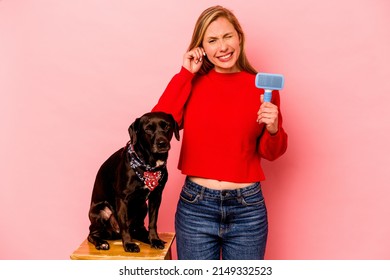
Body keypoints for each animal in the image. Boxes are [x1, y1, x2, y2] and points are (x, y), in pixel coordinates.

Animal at [87, 112, 179, 254]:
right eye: (148, 129)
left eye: (166, 126)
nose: (162, 143)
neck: (148, 166)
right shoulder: (122, 199)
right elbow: (124, 225)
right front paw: (129, 244)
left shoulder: (156, 197)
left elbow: (153, 222)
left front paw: (154, 239)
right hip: (100, 211)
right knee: (92, 234)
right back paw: (101, 243)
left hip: (142, 207)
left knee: (138, 229)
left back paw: (146, 237)